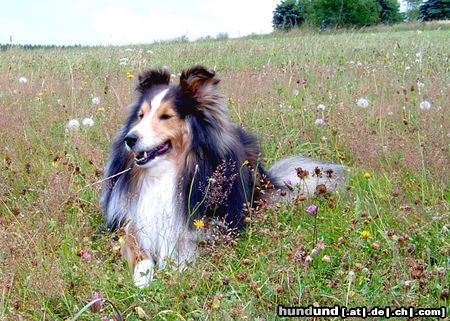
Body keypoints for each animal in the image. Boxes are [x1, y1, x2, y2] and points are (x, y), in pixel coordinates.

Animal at [99, 65, 344, 288]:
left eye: (166, 116)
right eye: (140, 116)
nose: (130, 139)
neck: (166, 172)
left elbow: (184, 248)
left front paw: (175, 269)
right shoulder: (133, 221)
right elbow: (137, 247)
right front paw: (143, 277)